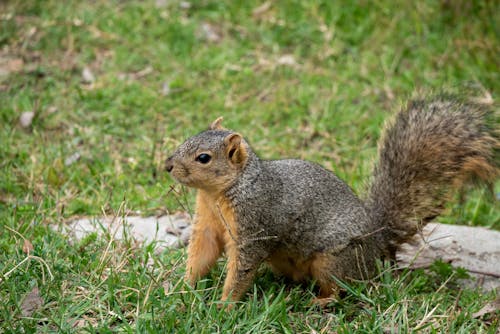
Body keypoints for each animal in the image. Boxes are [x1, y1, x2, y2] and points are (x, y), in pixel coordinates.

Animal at [164, 94, 496, 306]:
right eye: (186, 140)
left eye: (203, 158)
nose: (167, 165)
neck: (220, 193)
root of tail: (376, 241)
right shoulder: (207, 223)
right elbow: (202, 253)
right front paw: (182, 288)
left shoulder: (254, 226)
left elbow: (241, 270)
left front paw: (223, 306)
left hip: (333, 260)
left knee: (341, 287)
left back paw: (321, 302)